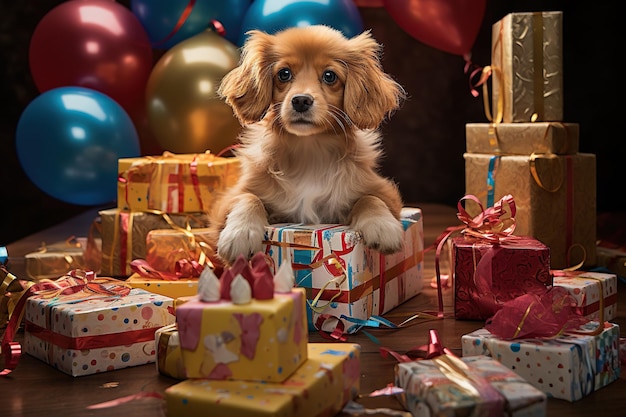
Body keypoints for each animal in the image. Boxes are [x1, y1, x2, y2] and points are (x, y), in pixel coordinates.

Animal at [208, 24, 404, 264]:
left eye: (329, 76)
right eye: (284, 74)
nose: (301, 100)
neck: (309, 148)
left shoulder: (381, 189)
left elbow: (370, 199)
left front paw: (382, 226)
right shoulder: (229, 198)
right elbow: (247, 197)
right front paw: (240, 234)